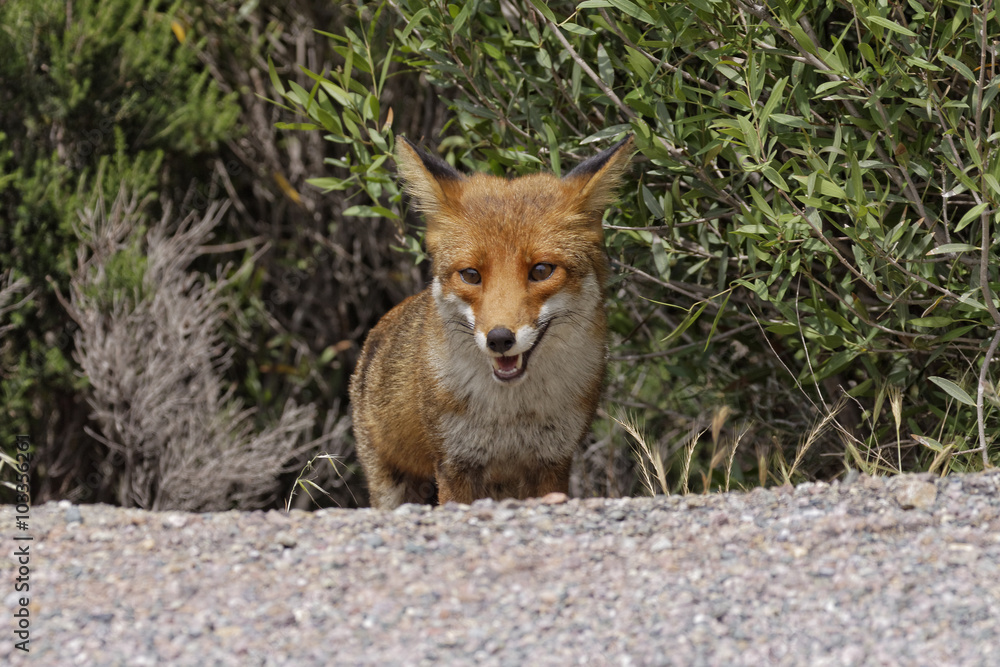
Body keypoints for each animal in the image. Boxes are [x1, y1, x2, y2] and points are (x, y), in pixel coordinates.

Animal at [350, 134, 634, 509]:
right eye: (471, 275)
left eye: (541, 270)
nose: (499, 338)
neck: (510, 415)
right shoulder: (455, 463)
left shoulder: (552, 461)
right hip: (390, 486)